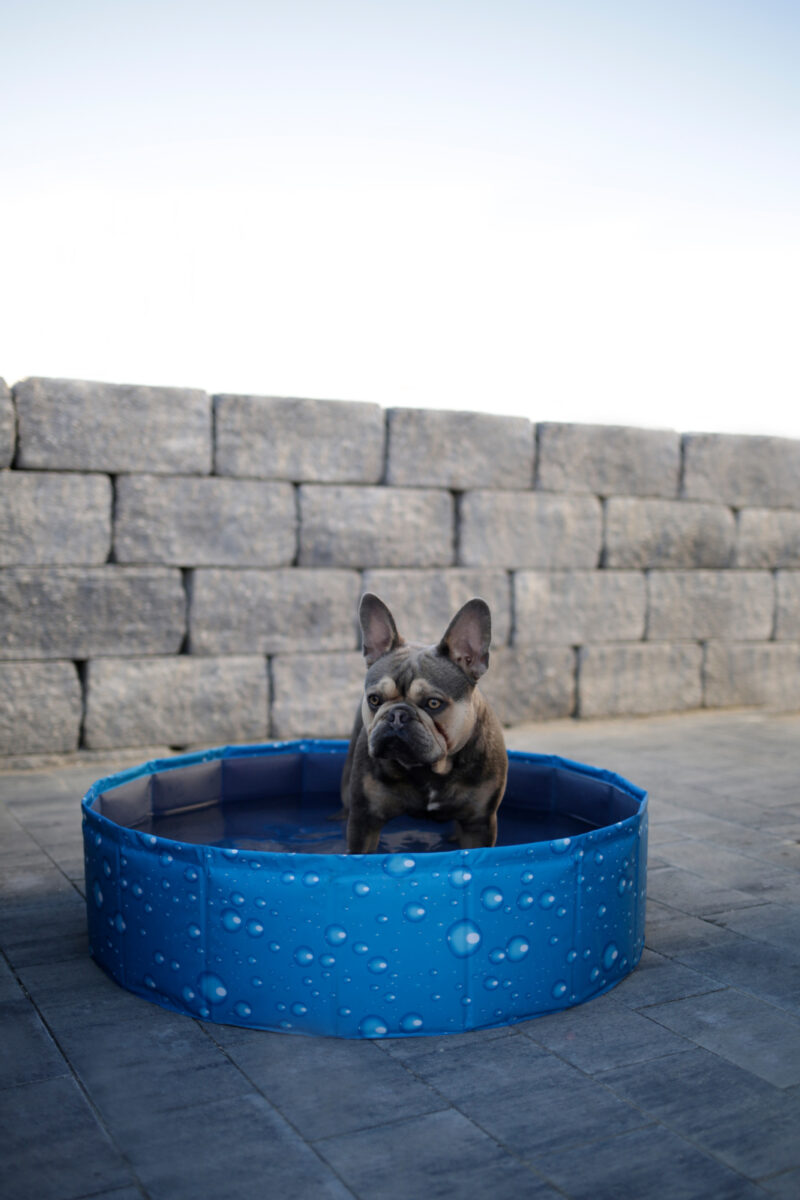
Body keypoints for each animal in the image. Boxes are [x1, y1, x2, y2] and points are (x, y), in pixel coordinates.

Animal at [340, 590, 506, 854]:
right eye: (375, 699)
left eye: (433, 703)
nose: (397, 715)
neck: (429, 771)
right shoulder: (364, 821)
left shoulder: (478, 824)